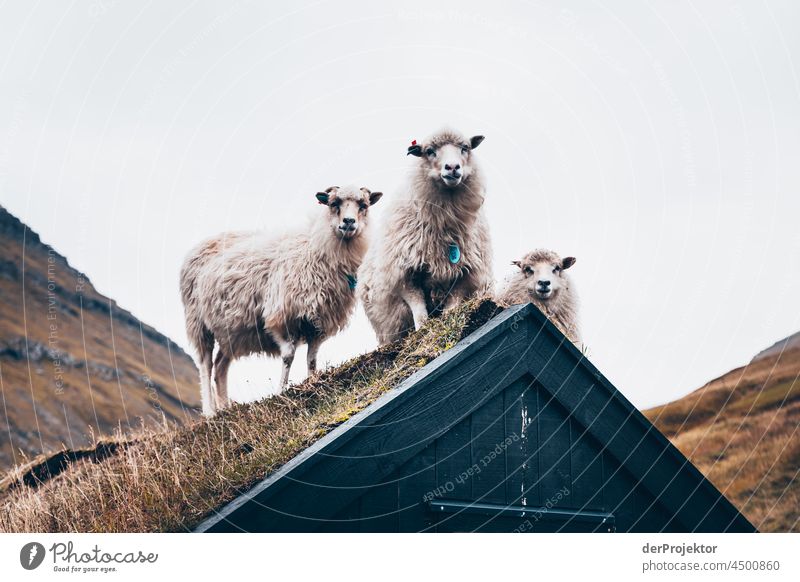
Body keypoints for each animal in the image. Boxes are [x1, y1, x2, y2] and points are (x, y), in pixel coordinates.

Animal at [180, 186, 382, 416]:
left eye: (363, 205)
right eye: (334, 203)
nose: (349, 222)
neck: (315, 247)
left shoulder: (318, 322)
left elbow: (312, 358)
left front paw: (313, 380)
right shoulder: (281, 317)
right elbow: (288, 356)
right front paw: (281, 390)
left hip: (230, 331)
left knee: (220, 366)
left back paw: (225, 407)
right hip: (198, 325)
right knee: (205, 366)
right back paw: (210, 412)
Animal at [358, 129, 494, 346]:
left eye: (465, 148)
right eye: (429, 151)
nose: (452, 167)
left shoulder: (466, 273)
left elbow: (453, 305)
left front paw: (447, 320)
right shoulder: (403, 273)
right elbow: (419, 310)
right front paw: (423, 329)